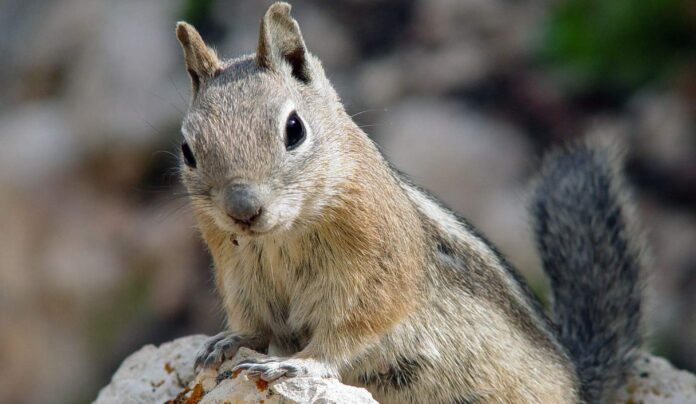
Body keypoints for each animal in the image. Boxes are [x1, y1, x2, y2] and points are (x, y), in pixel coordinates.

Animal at [175, 3, 644, 403]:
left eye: (294, 129)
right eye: (187, 150)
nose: (243, 209)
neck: (280, 237)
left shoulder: (373, 277)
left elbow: (346, 333)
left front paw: (299, 364)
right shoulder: (239, 276)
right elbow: (255, 326)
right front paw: (230, 340)